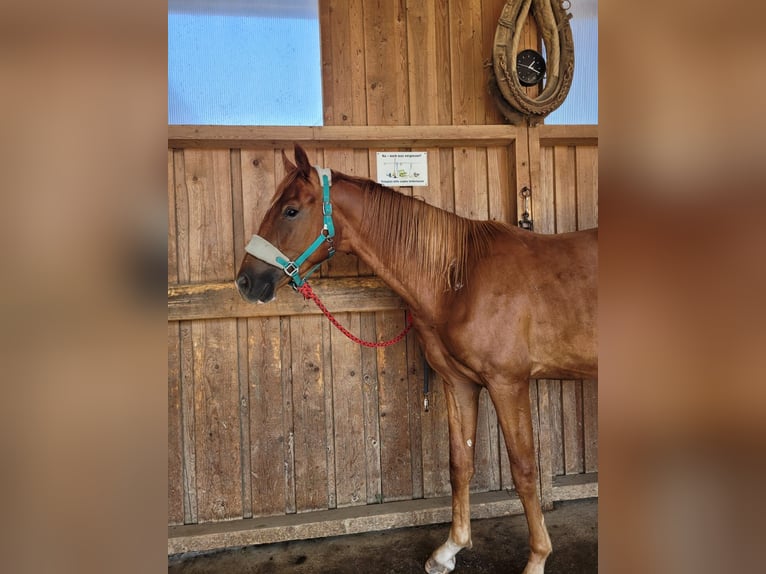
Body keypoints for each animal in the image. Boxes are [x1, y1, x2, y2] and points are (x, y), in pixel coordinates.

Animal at [237, 145, 596, 574]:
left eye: (290, 211)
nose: (245, 281)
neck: (457, 276)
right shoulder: (459, 383)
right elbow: (460, 464)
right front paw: (450, 549)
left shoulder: (508, 383)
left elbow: (524, 469)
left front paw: (537, 559)